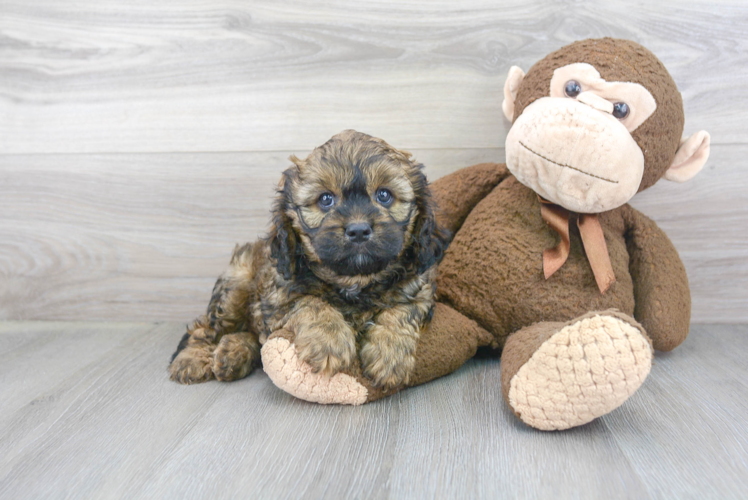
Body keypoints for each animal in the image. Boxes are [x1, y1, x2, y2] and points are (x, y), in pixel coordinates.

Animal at [168, 131, 450, 388]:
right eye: (326, 199)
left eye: (384, 195)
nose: (358, 230)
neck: (354, 283)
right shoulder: (277, 296)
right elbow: (309, 302)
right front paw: (329, 341)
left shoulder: (420, 287)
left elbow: (403, 310)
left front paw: (390, 354)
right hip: (235, 287)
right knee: (205, 329)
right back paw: (193, 359)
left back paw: (233, 354)